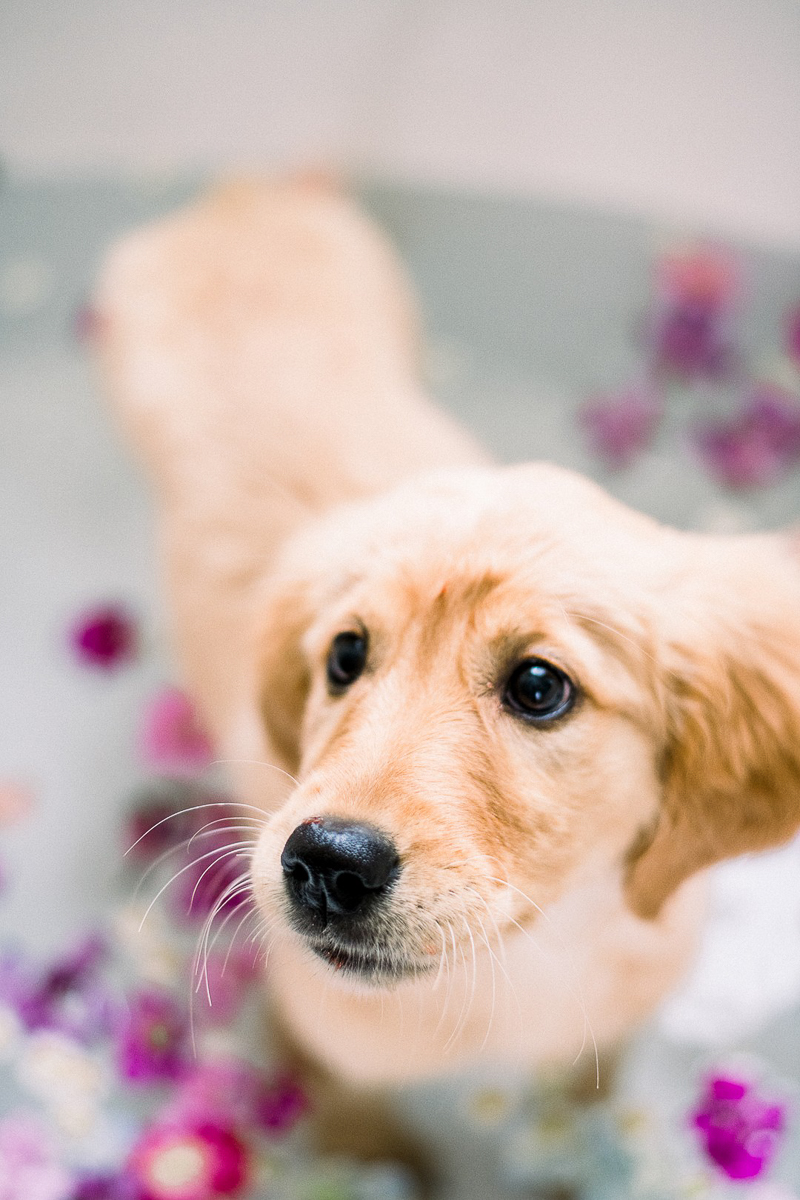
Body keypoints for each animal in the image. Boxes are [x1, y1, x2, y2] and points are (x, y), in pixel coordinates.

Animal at [95, 175, 800, 1113]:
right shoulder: (327, 1053)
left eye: (539, 686)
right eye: (344, 658)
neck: (527, 961)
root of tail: (252, 188)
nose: (326, 861)